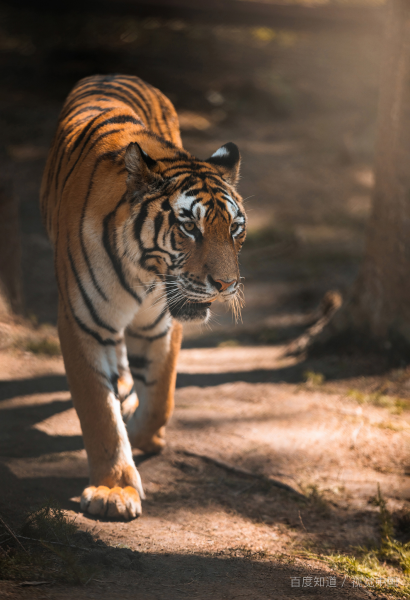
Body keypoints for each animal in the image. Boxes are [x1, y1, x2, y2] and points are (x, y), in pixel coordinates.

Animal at [40, 74, 247, 516]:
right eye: (190, 227)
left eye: (235, 228)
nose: (226, 285)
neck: (142, 273)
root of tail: (113, 73)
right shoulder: (81, 322)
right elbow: (98, 412)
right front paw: (113, 491)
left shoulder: (161, 324)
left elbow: (162, 396)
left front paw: (143, 436)